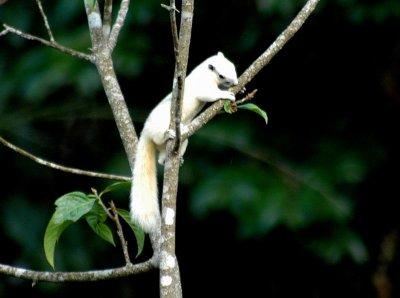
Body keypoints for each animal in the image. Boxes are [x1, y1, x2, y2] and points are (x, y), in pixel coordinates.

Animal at [130, 50, 238, 233]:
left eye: (234, 66)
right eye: (221, 75)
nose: (236, 82)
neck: (205, 73)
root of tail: (145, 132)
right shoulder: (202, 86)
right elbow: (210, 94)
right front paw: (226, 94)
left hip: (184, 140)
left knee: (161, 158)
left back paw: (176, 158)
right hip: (160, 124)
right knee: (159, 136)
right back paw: (169, 134)